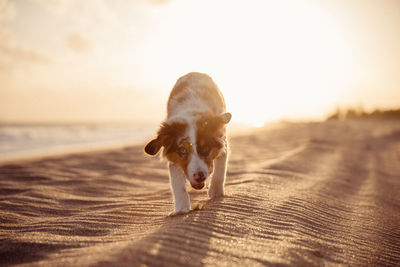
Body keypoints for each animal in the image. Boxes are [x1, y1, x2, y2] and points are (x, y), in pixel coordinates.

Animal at [144, 72, 231, 217]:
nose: (199, 176)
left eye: (206, 148)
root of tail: (195, 73)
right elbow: (177, 185)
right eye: (183, 151)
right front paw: (181, 209)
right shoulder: (174, 161)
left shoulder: (222, 141)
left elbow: (220, 169)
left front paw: (215, 191)